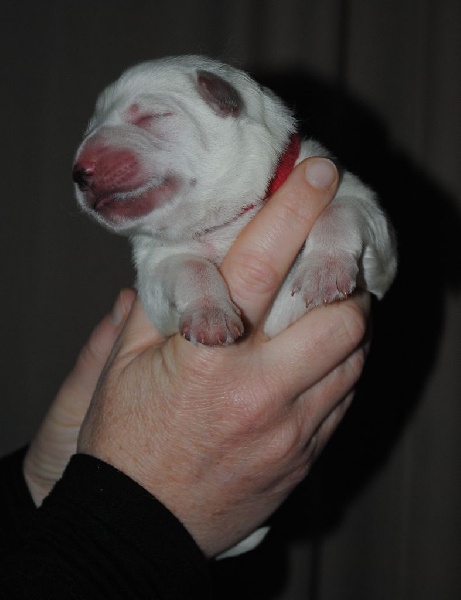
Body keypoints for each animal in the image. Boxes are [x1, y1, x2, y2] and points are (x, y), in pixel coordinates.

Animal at [73, 55, 397, 347]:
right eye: (89, 129)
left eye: (152, 117)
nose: (78, 173)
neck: (227, 219)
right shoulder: (156, 269)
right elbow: (190, 267)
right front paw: (210, 316)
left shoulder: (355, 202)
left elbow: (342, 209)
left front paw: (324, 270)